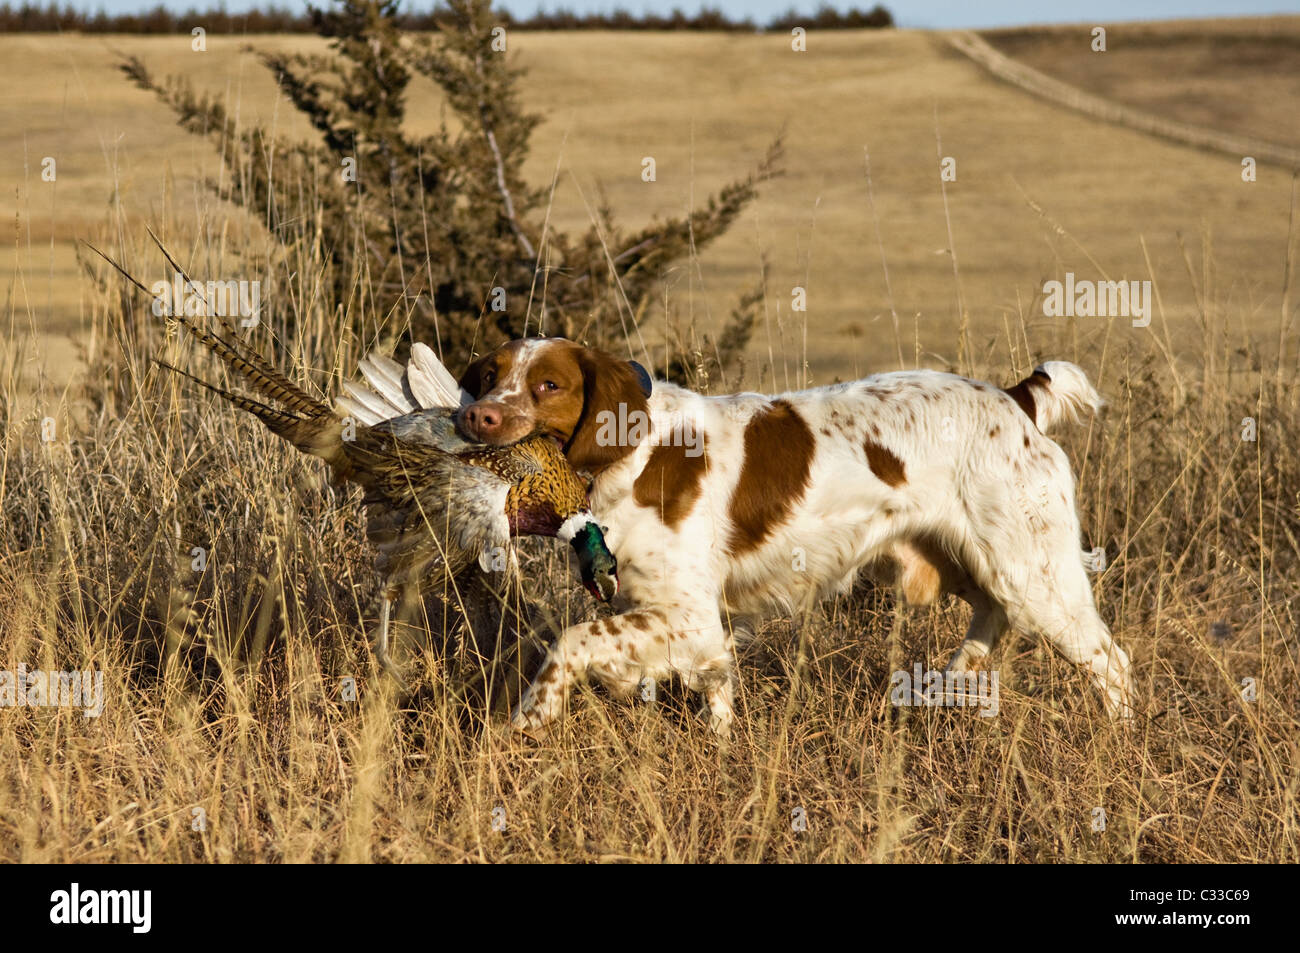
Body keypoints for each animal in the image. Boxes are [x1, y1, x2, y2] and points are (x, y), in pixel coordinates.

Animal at [452, 338, 1133, 733]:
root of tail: (1016, 399)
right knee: (992, 619)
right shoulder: (691, 621)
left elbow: (569, 641)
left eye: (549, 385)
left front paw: (527, 720)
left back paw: (1118, 740)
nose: (477, 415)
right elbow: (714, 691)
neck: (633, 454)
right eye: (488, 376)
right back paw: (953, 680)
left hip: (1035, 574)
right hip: (981, 564)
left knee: (1111, 660)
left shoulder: (689, 614)